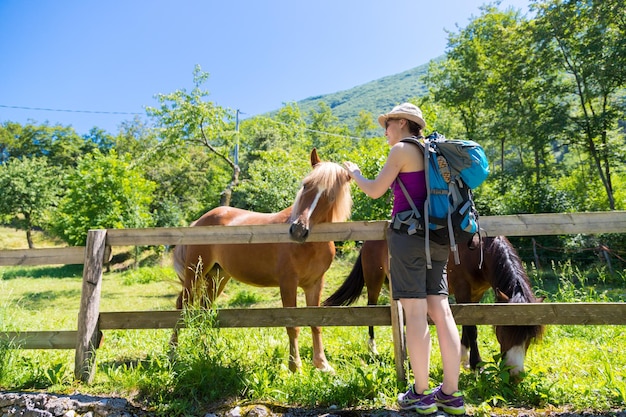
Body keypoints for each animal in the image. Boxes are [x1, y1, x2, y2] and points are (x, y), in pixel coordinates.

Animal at [173, 149, 352, 370]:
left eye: (330, 195)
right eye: (305, 185)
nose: (298, 230)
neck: (310, 245)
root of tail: (199, 221)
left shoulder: (315, 284)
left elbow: (316, 322)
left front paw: (322, 365)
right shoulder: (288, 283)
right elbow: (293, 325)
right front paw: (295, 367)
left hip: (217, 278)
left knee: (204, 311)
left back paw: (204, 352)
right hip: (194, 274)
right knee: (181, 305)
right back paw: (173, 353)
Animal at [324, 236, 544, 376]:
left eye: (528, 337)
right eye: (505, 332)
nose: (515, 374)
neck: (477, 252)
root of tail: (368, 241)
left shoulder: (476, 294)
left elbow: (468, 325)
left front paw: (463, 358)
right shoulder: (463, 291)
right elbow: (471, 329)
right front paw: (477, 365)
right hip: (374, 282)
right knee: (371, 309)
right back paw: (373, 348)